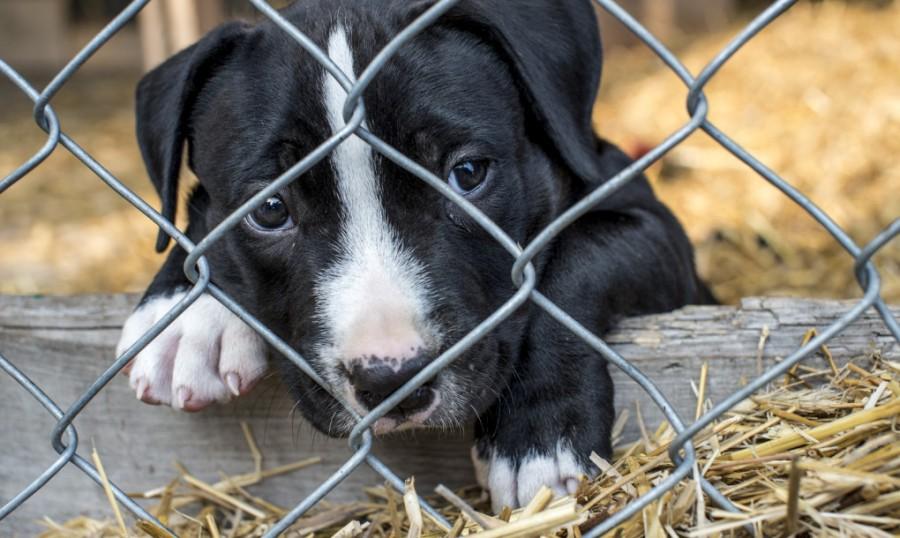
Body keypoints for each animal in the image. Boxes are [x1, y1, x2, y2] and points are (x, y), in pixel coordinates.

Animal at [118, 0, 712, 508]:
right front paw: (185, 314)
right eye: (269, 209)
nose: (391, 381)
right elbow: (200, 212)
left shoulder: (658, 234)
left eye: (467, 174)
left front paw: (537, 437)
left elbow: (576, 260)